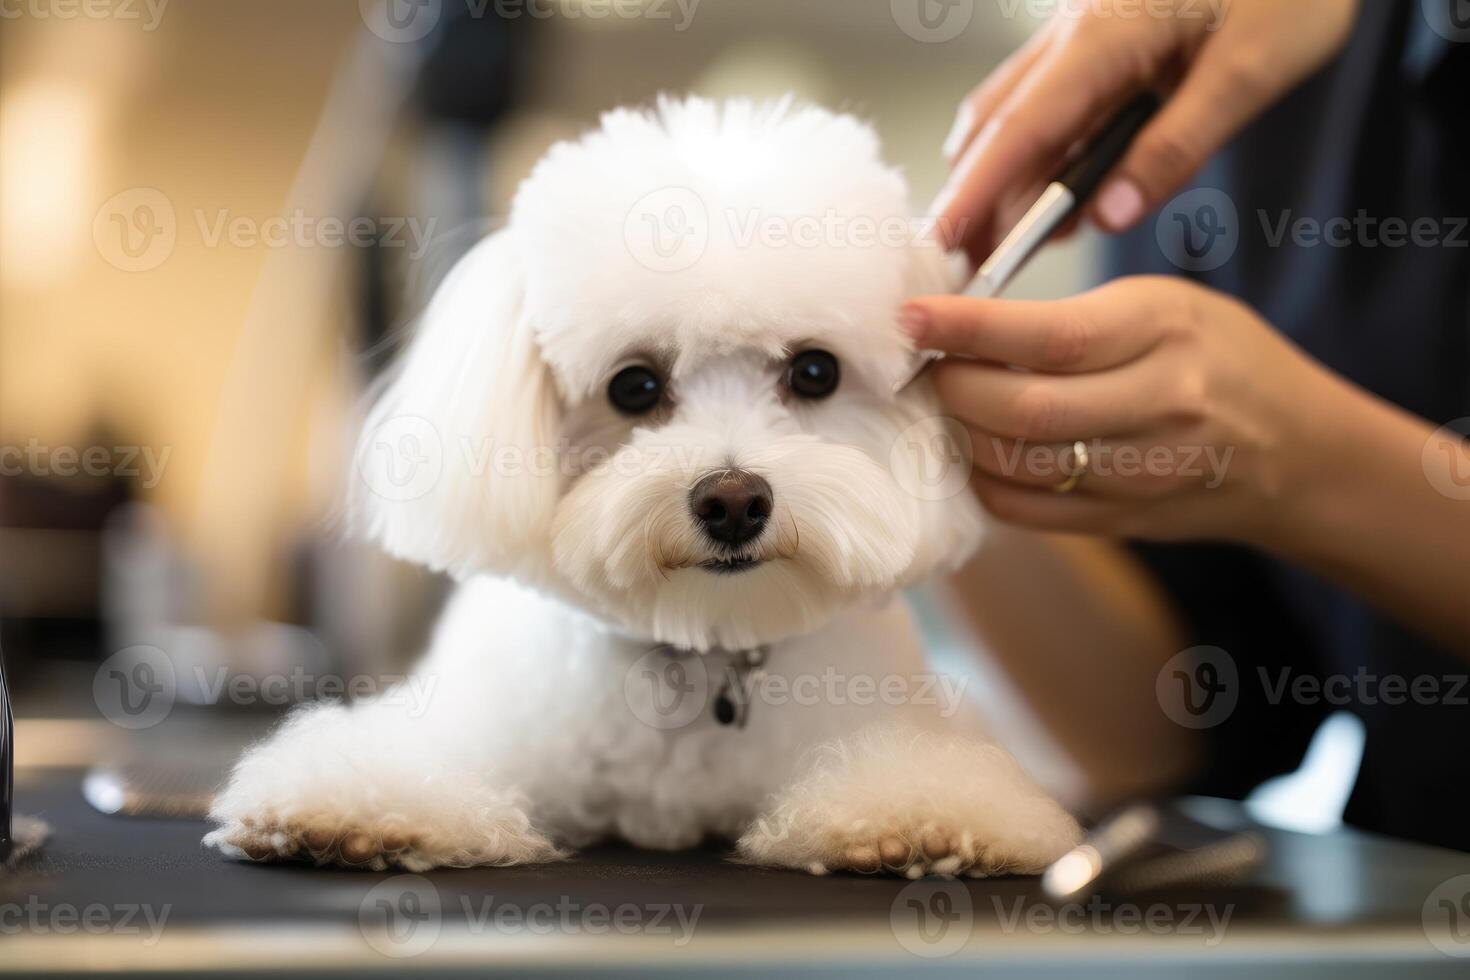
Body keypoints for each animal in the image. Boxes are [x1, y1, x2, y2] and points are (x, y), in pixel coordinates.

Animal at [204, 97, 1081, 881]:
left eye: (814, 372)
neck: (702, 650)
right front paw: (350, 808)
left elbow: (911, 777)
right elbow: (428, 764)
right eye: (633, 386)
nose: (734, 501)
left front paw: (926, 820)